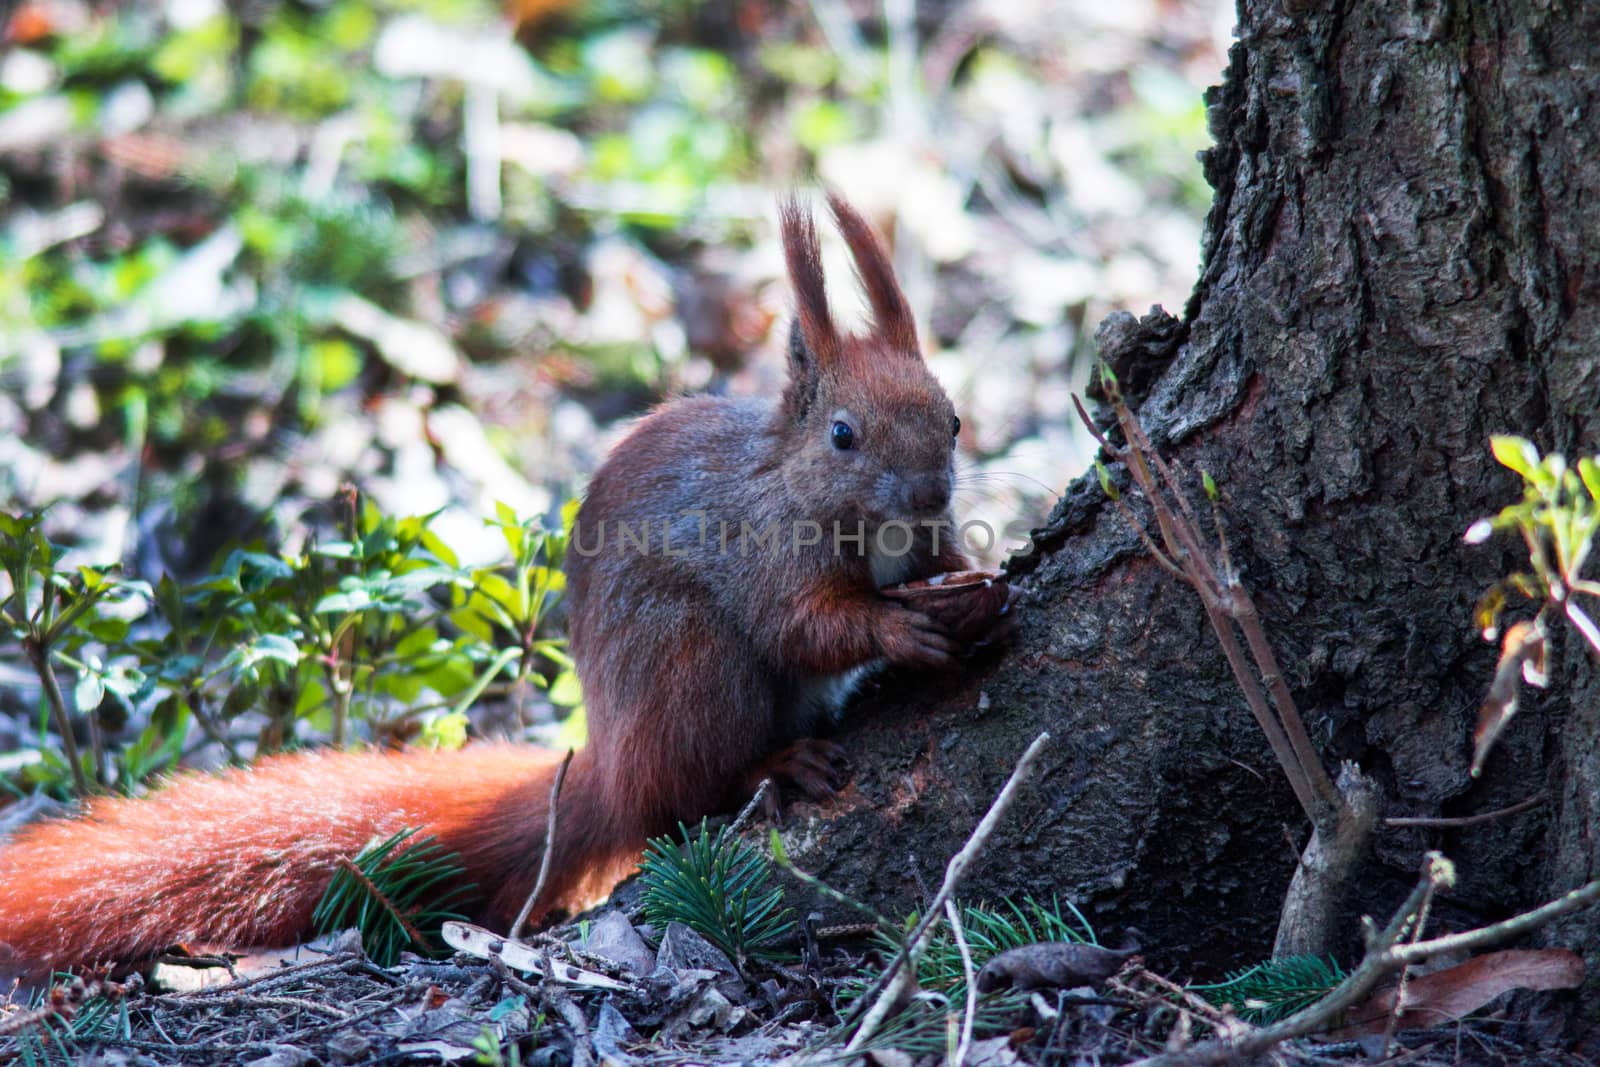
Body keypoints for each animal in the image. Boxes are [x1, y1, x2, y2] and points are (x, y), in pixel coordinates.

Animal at [0, 191, 985, 979]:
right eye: (844, 435)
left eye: (953, 418)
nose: (930, 494)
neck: (802, 488)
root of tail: (606, 764)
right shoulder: (761, 554)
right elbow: (803, 626)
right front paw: (899, 630)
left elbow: (929, 571)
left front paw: (977, 585)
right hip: (688, 664)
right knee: (680, 793)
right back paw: (774, 763)